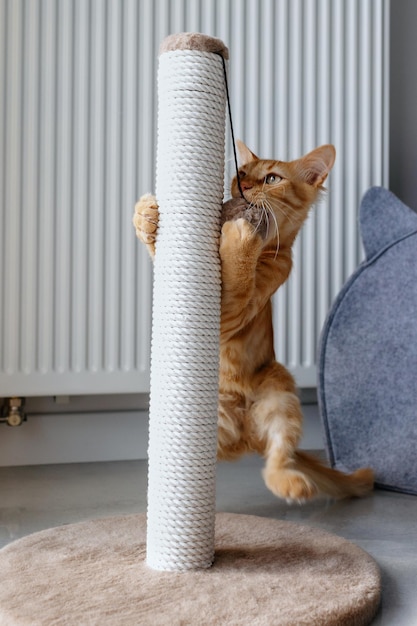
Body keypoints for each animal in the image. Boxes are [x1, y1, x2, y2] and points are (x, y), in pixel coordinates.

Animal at [134, 141, 374, 502]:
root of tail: (244, 436)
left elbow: (238, 278)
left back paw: (291, 484)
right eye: (242, 173)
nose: (244, 187)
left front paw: (241, 239)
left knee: (279, 455)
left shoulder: (232, 312)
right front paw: (146, 216)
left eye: (272, 178)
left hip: (279, 389)